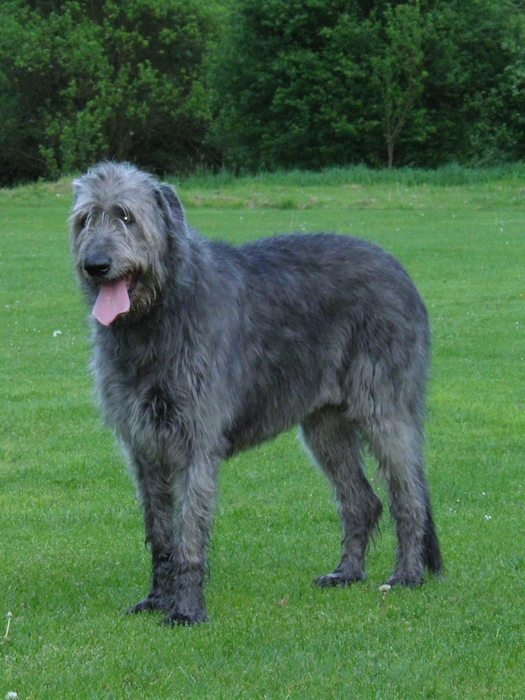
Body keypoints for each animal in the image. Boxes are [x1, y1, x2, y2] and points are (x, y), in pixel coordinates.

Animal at [68, 161, 438, 628]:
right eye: (85, 219)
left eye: (125, 216)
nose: (96, 265)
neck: (157, 313)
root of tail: (399, 268)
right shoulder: (144, 446)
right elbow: (160, 531)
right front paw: (156, 599)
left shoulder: (197, 439)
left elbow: (190, 532)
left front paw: (186, 609)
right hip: (324, 424)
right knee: (362, 501)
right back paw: (347, 573)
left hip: (383, 407)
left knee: (408, 496)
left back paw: (407, 574)